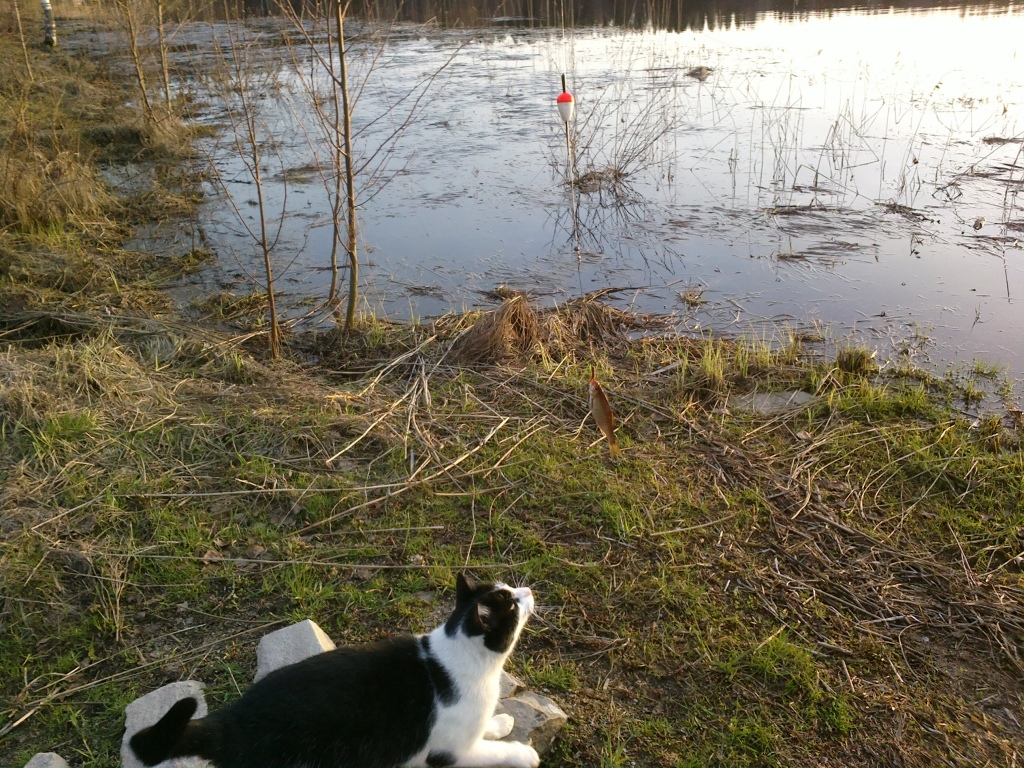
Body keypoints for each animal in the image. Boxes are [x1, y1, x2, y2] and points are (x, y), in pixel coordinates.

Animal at [129, 573, 540, 768]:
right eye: (512, 604)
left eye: (511, 590)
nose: (529, 591)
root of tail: (231, 719)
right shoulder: (446, 753)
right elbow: (491, 752)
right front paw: (523, 754)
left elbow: (485, 729)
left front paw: (498, 722)